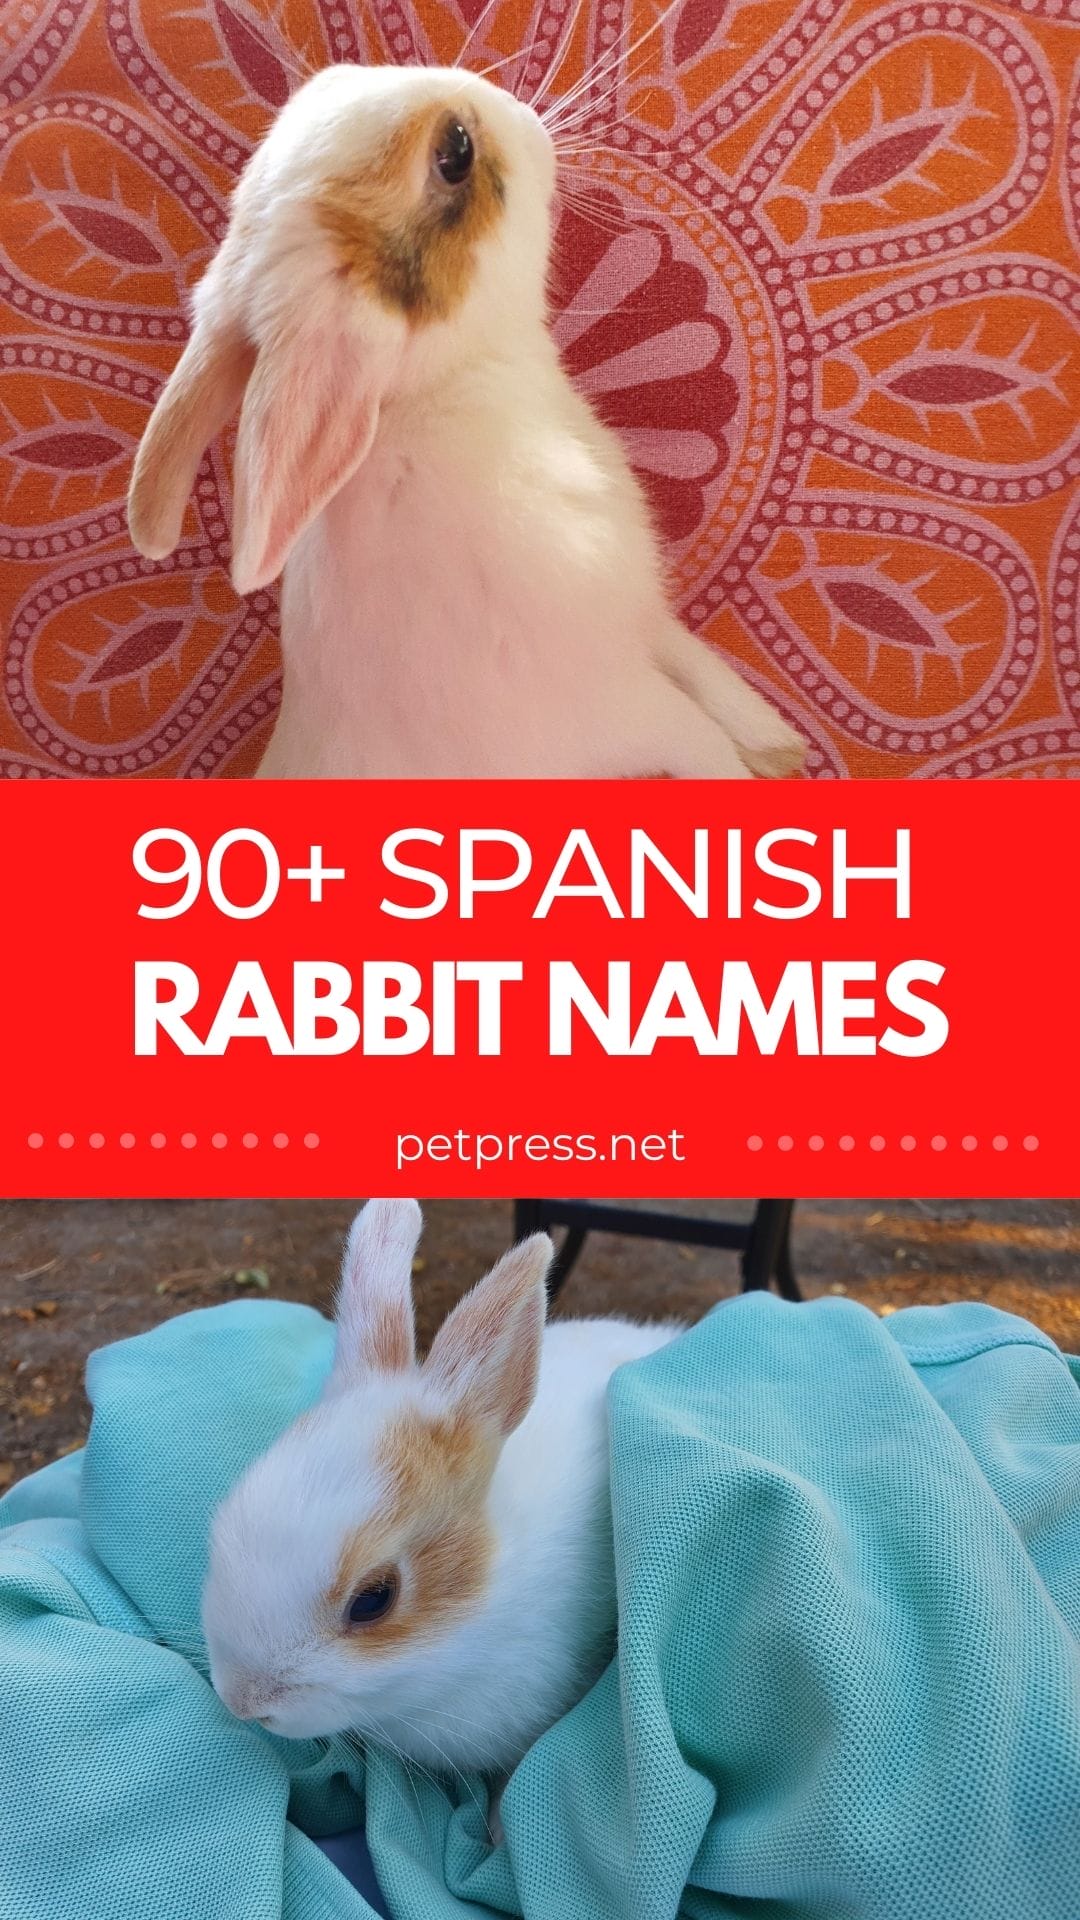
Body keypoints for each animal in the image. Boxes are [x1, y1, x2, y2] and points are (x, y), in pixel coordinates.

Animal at [127, 61, 804, 781]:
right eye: (455, 152)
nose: (518, 106)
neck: (448, 385)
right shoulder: (626, 709)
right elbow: (704, 744)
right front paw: (759, 768)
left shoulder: (638, 620)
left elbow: (694, 663)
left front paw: (778, 740)